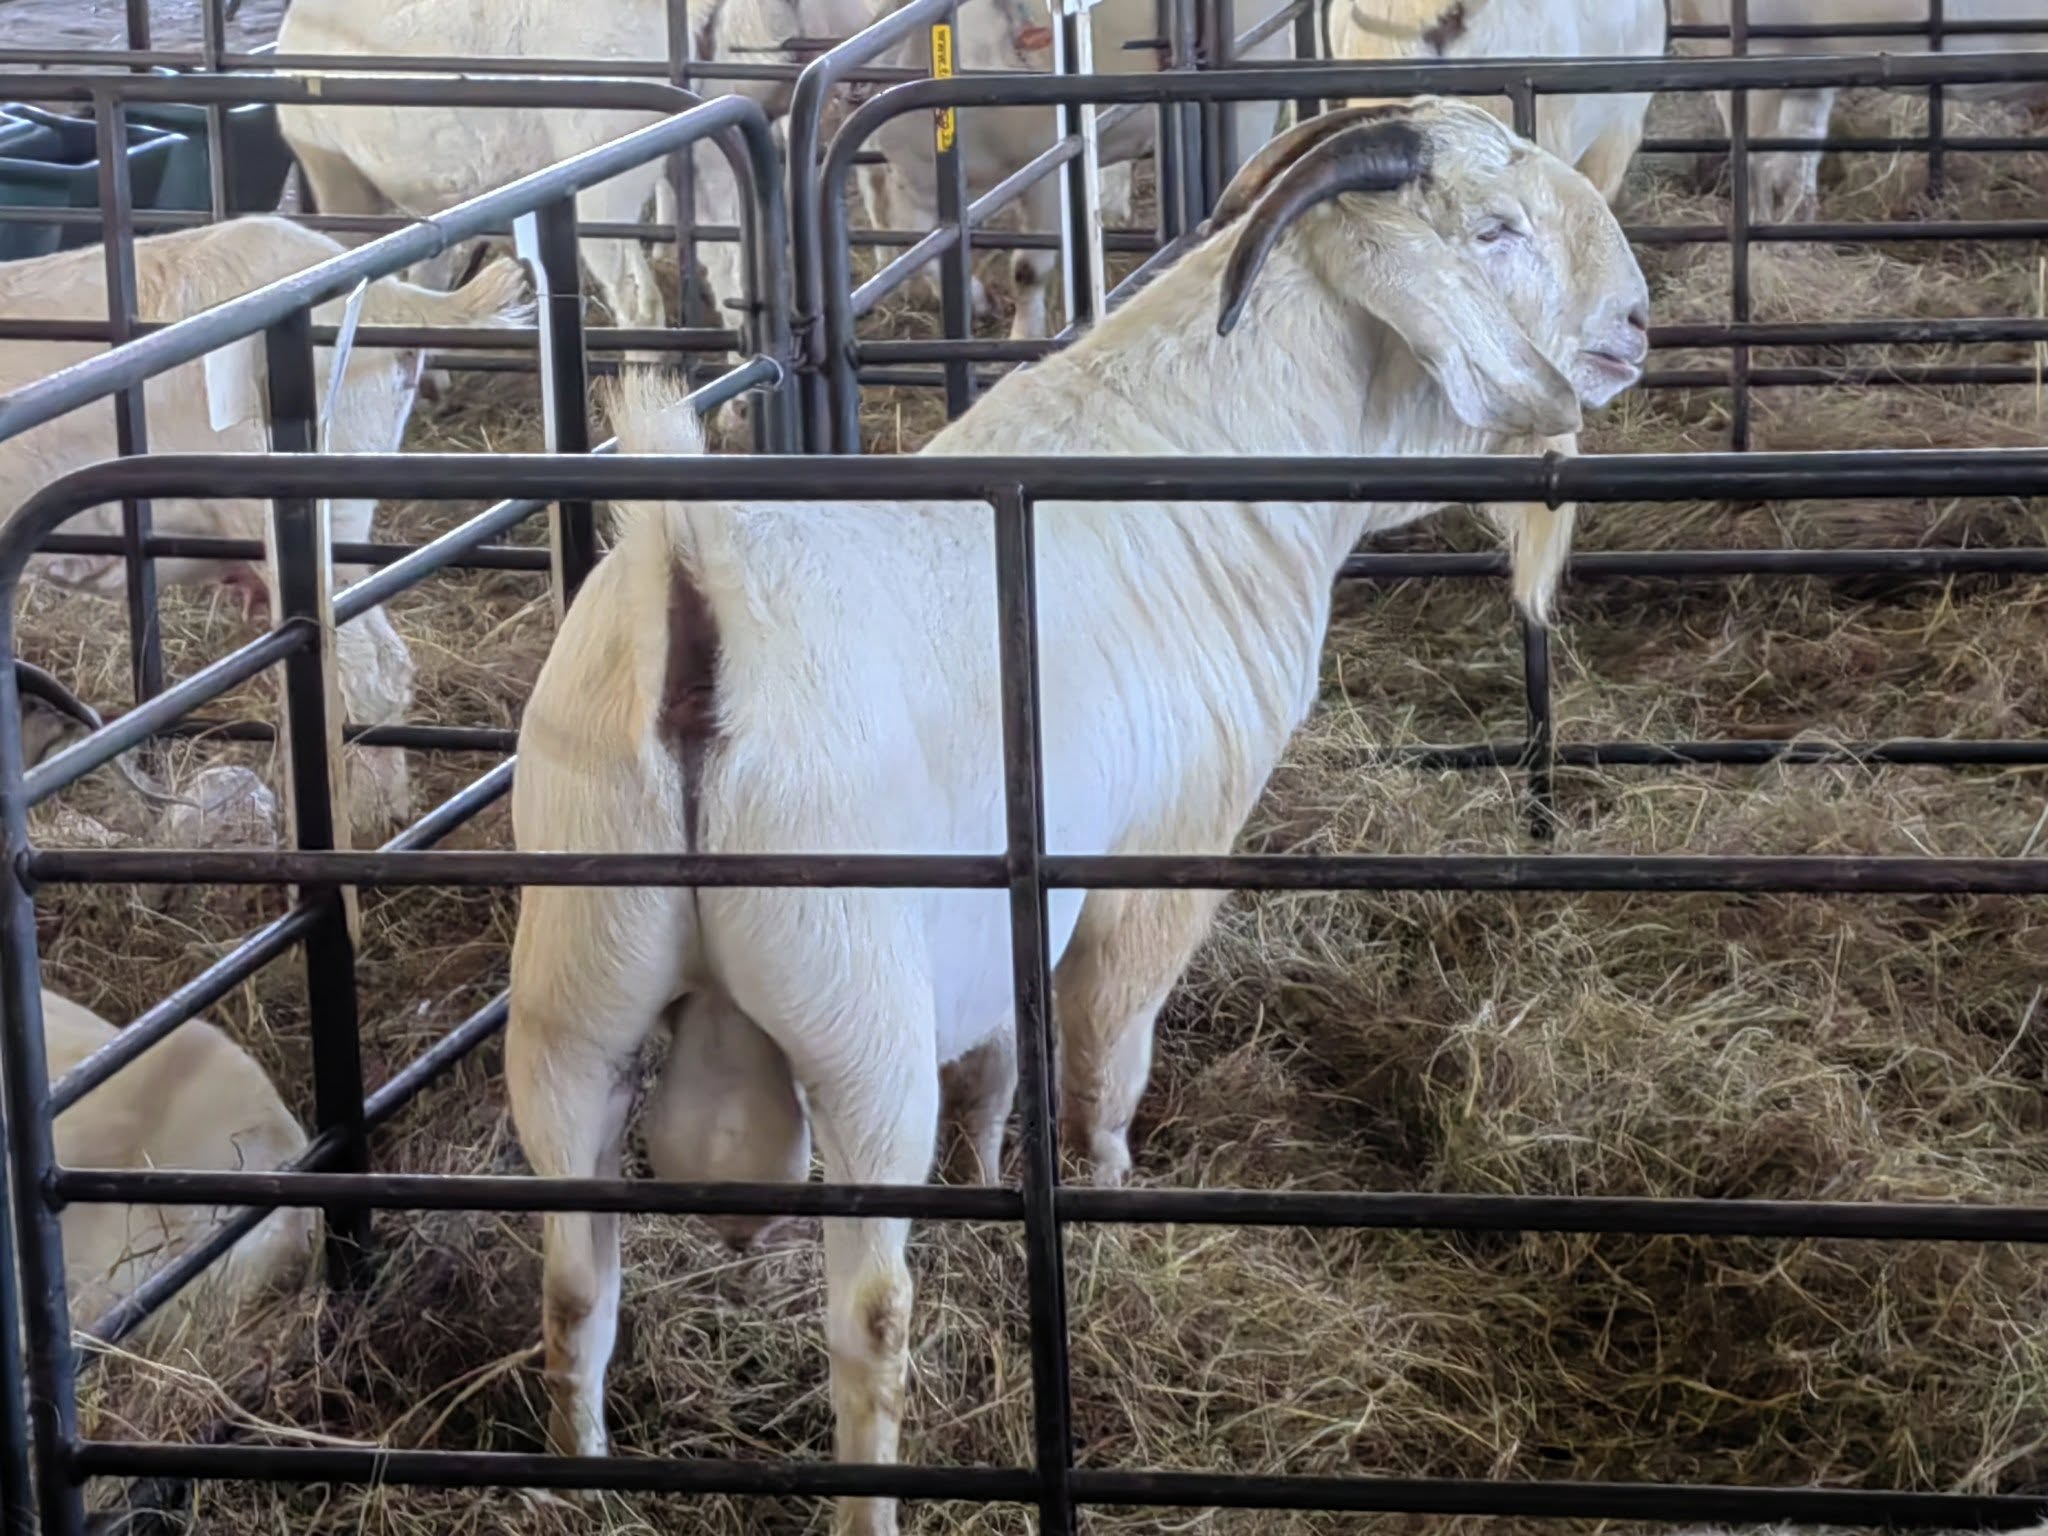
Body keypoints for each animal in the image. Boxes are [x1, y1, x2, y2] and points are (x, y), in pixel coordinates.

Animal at [506, 96, 1648, 1534]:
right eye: (1492, 230)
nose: (1635, 326)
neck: (1210, 458)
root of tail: (692, 586)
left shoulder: (1007, 924)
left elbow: (1004, 1061)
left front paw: (1000, 1172)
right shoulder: (1162, 853)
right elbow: (1108, 1053)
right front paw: (1108, 1203)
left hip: (571, 1003)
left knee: (571, 1286)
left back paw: (575, 1480)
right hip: (854, 1018)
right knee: (867, 1316)